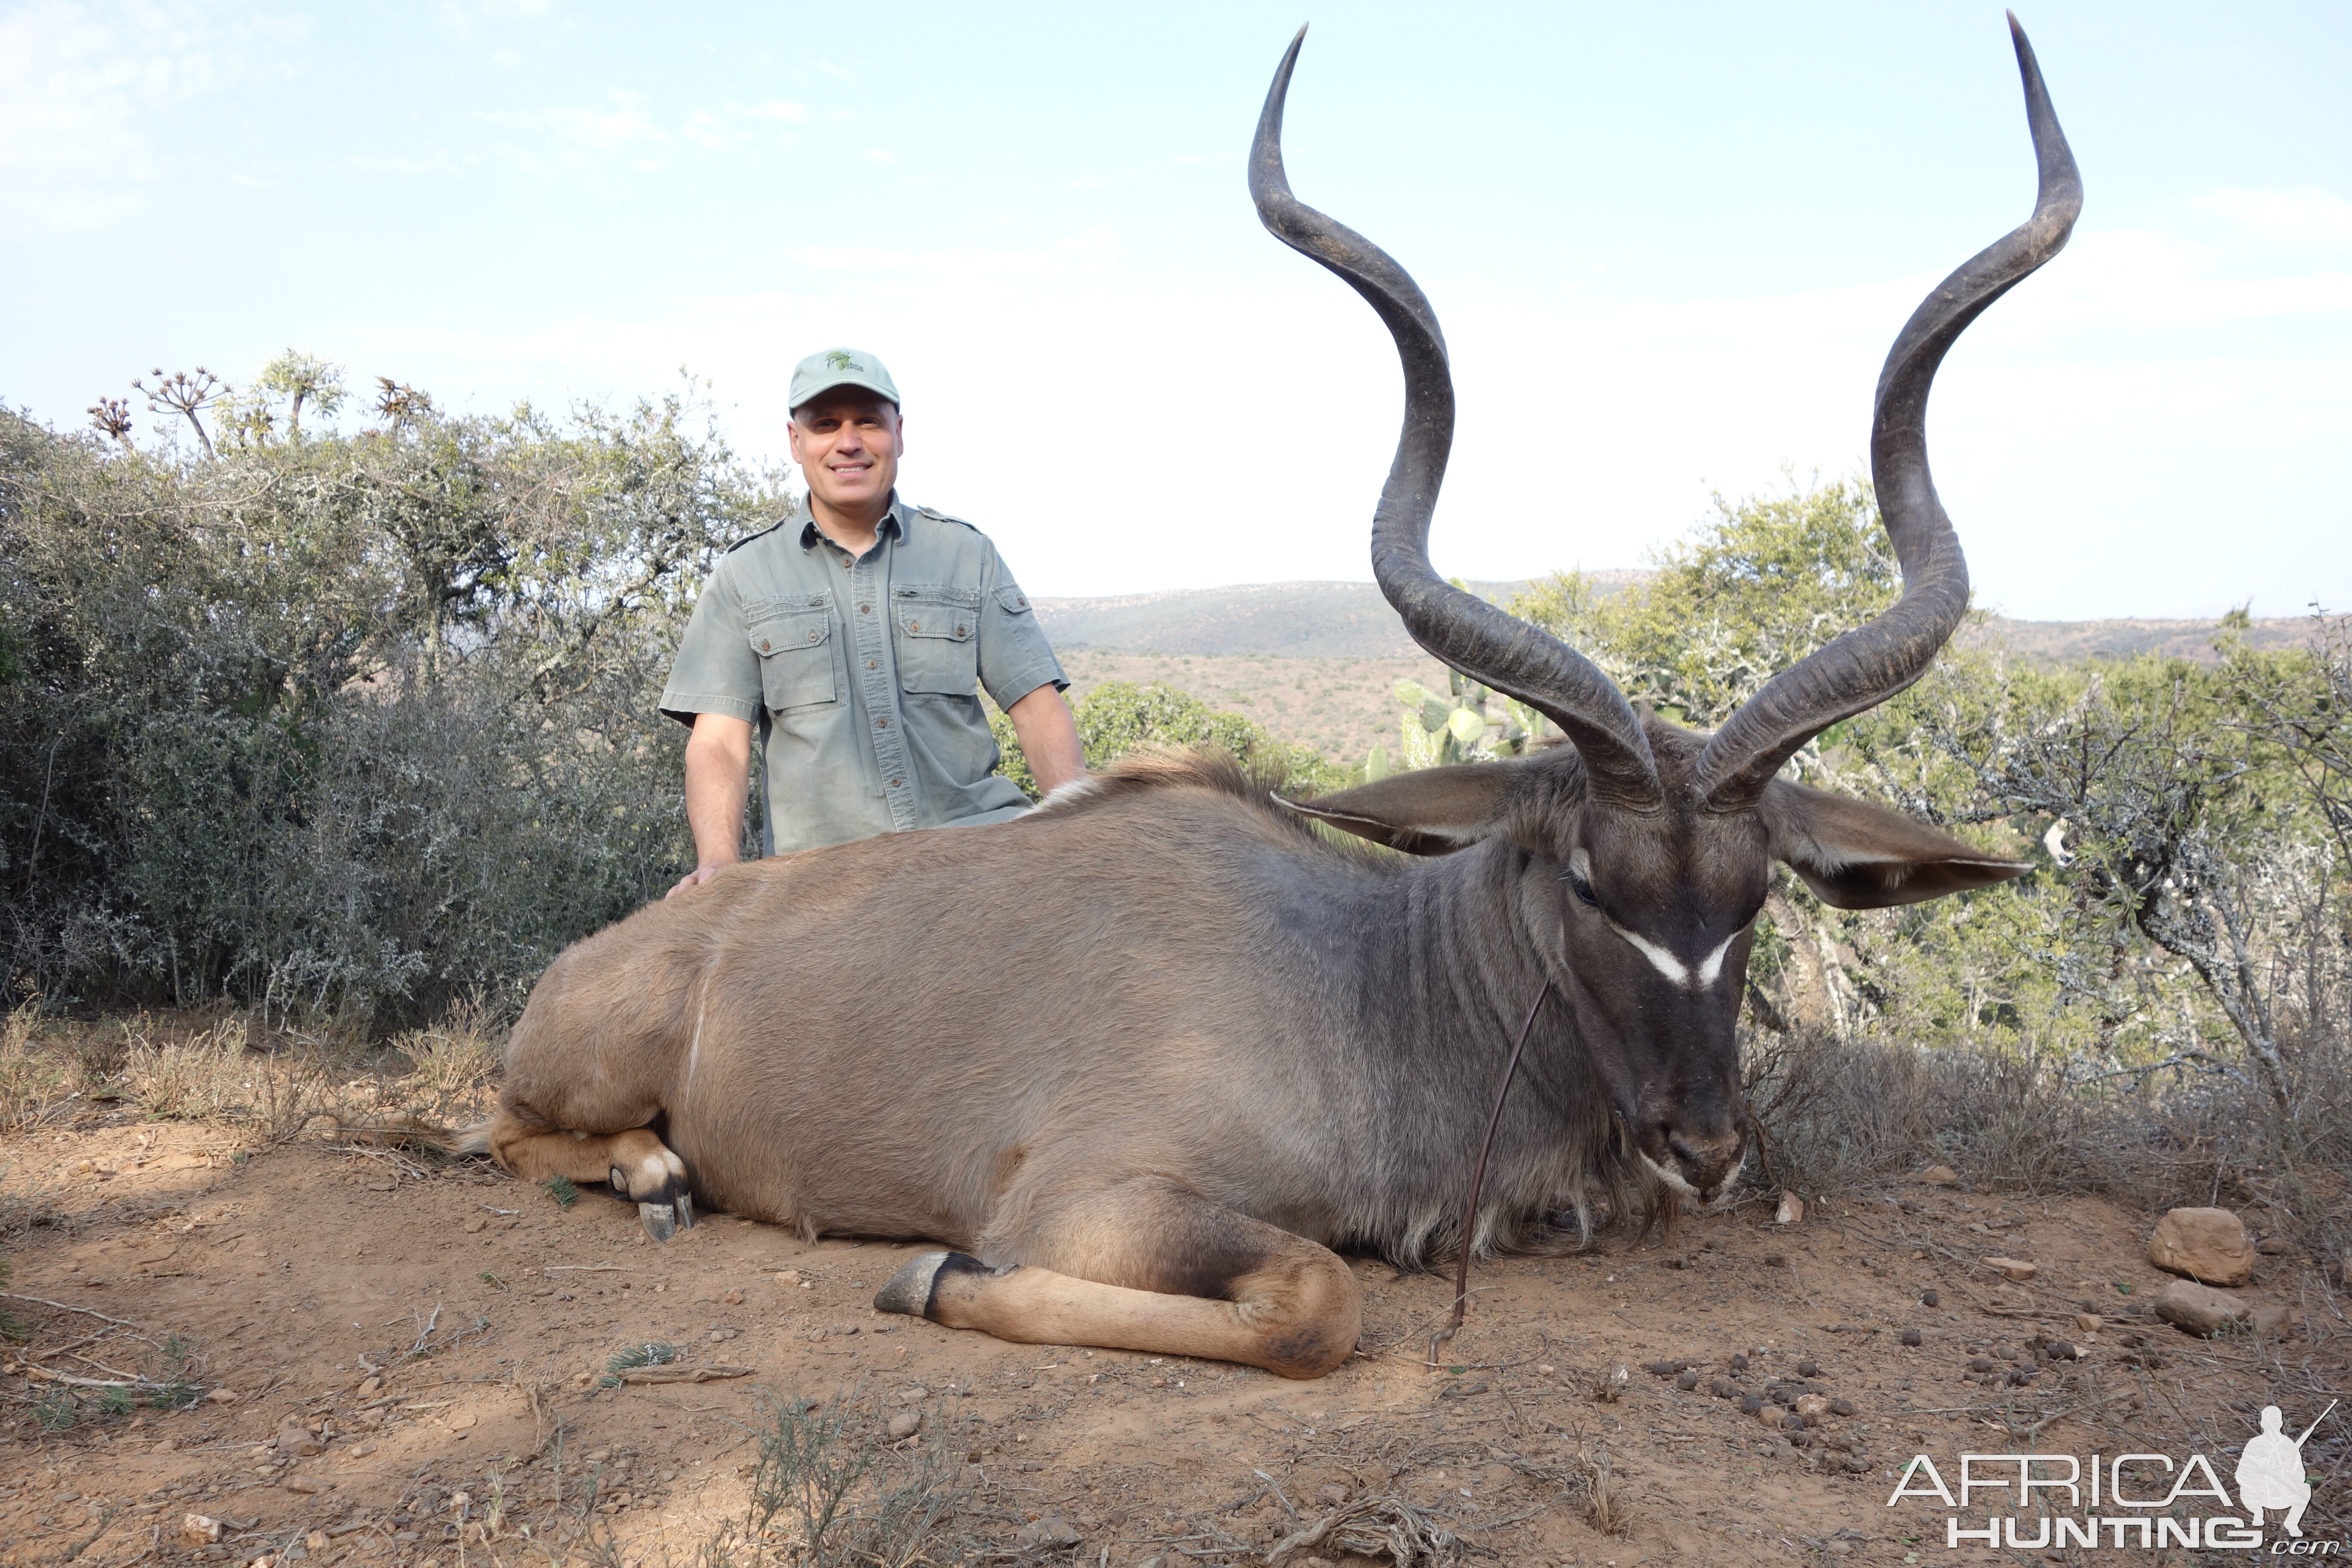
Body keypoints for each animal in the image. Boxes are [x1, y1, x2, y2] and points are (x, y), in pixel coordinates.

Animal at [472, 21, 2079, 1373]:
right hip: (579, 1078)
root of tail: (614, 953)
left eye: (1756, 893)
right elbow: (1315, 1297)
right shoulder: (1089, 1198)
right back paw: (655, 1170)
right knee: (508, 1127)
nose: (1702, 1143)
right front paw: (929, 1277)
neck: (1359, 988)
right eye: (1586, 879)